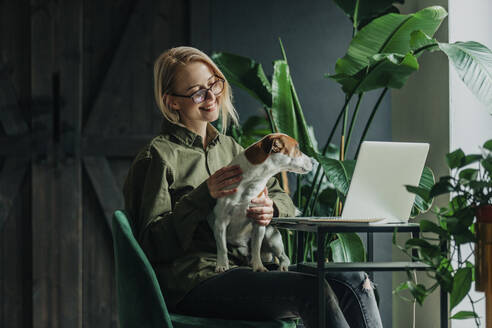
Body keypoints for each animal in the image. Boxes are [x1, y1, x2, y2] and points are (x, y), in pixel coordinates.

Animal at [208, 132, 312, 272]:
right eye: (297, 148)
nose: (314, 162)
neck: (251, 181)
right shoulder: (220, 222)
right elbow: (222, 248)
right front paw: (222, 265)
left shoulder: (259, 221)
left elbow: (256, 247)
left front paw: (259, 266)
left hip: (271, 236)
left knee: (283, 256)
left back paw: (281, 266)